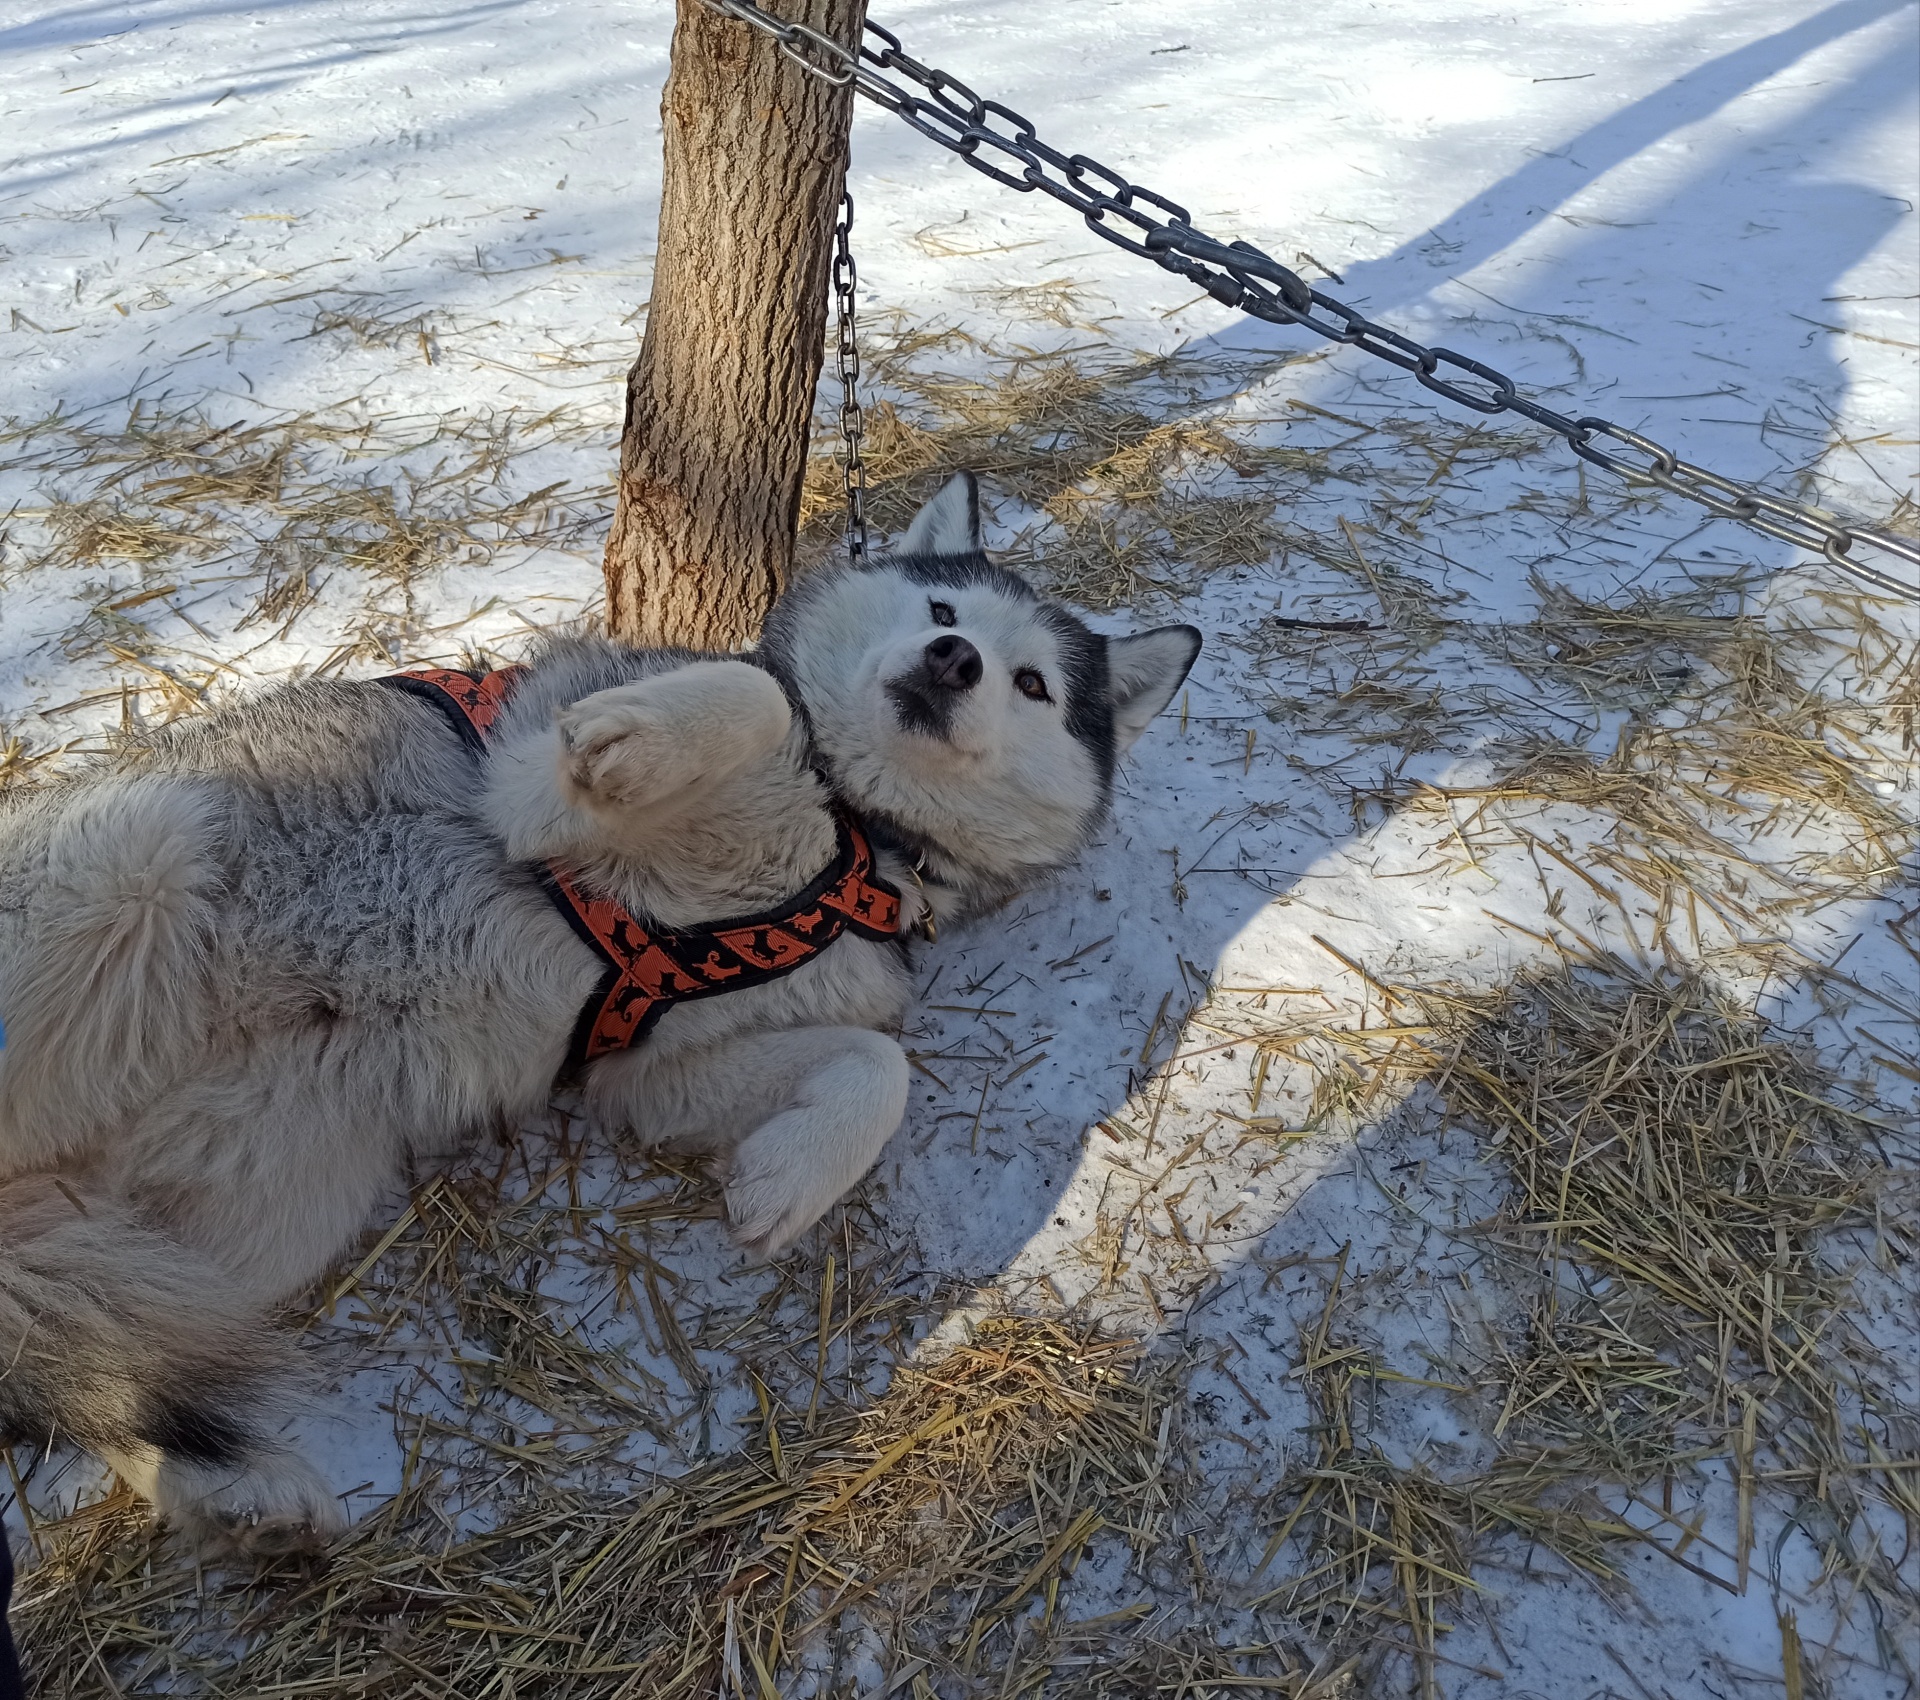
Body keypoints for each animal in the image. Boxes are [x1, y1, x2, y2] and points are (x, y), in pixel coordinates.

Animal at [0, 474, 1198, 1552]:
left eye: (1033, 684)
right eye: (945, 613)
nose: (955, 663)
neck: (848, 823)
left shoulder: (646, 1063)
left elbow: (873, 1063)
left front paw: (785, 1180)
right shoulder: (535, 790)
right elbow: (756, 697)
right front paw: (644, 735)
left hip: (259, 1212)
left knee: (102, 1348)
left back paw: (237, 1496)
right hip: (140, 863)